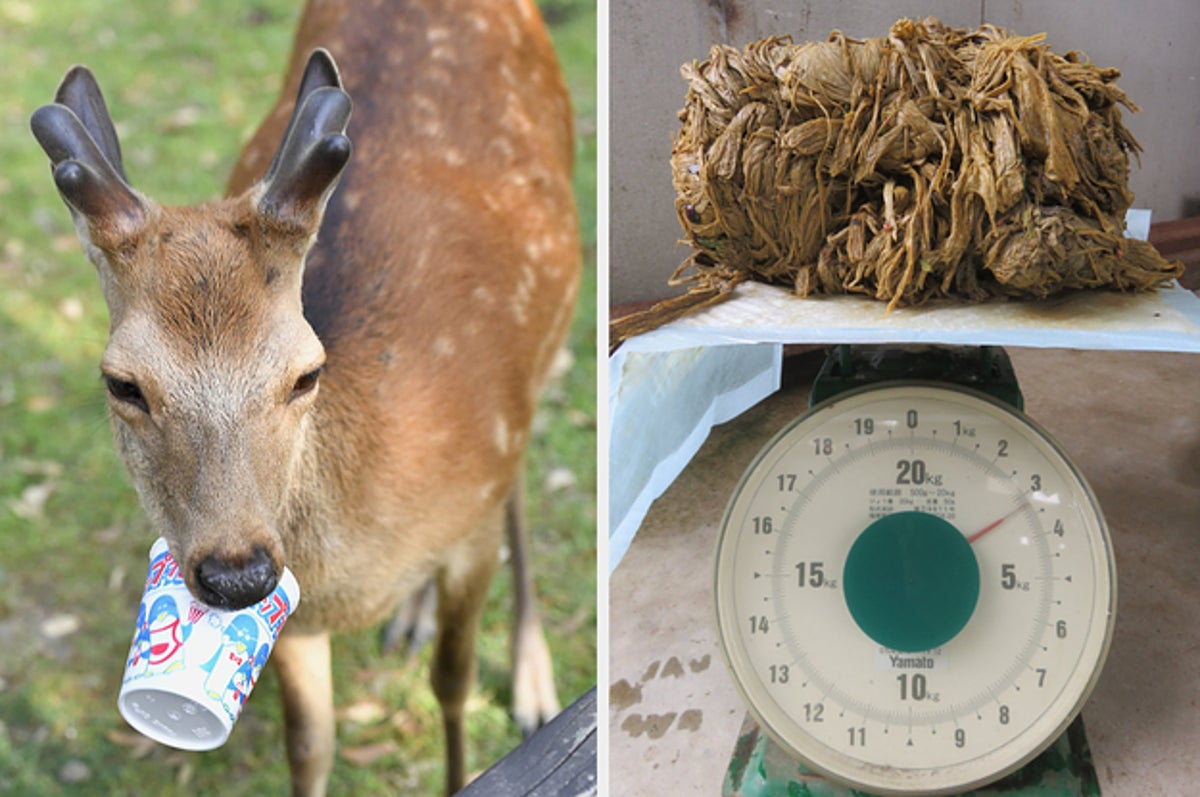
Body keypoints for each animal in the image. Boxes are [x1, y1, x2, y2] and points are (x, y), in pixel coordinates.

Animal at [30, 0, 583, 792]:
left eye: (305, 373)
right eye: (123, 383)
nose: (238, 574)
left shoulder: (473, 523)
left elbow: (451, 682)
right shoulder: (295, 609)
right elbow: (310, 741)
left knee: (523, 480)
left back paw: (533, 680)